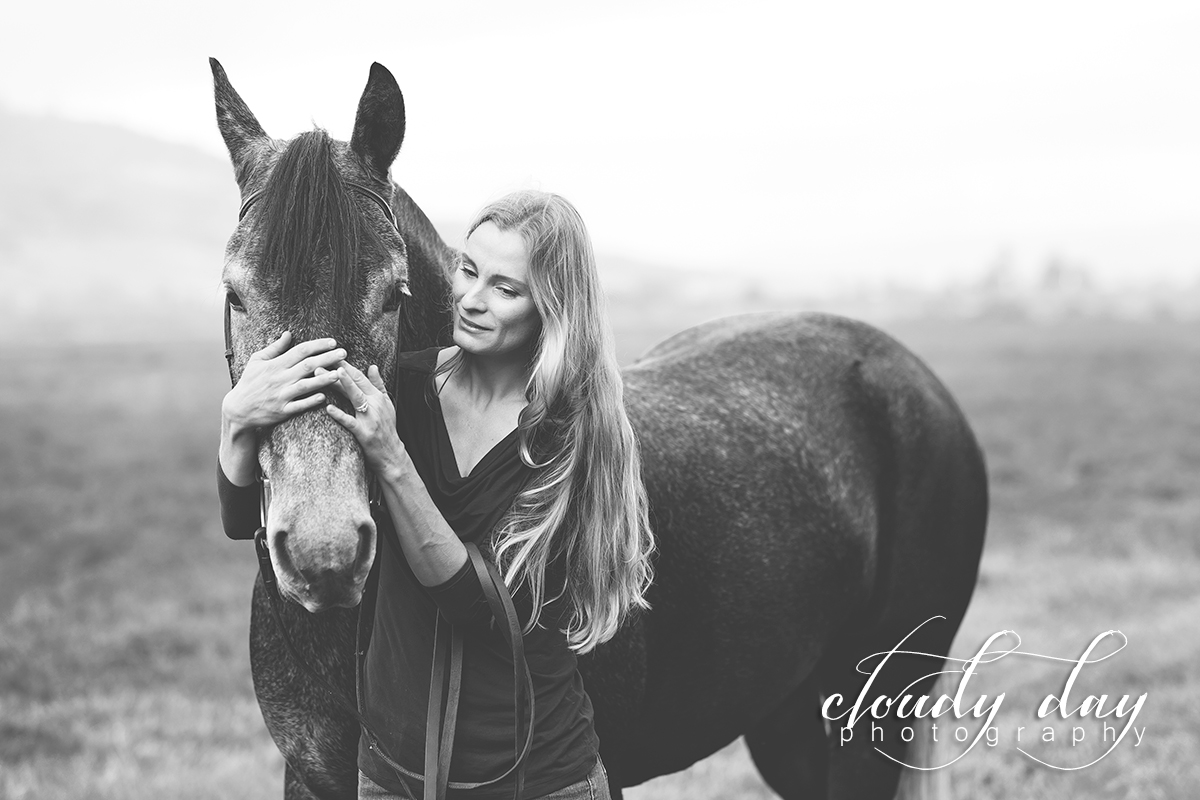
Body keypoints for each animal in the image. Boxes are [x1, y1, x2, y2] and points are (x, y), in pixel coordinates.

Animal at [210, 59, 988, 800]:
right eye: (235, 295)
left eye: (393, 295)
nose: (325, 551)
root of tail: (914, 379)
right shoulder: (312, 778)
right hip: (788, 717)